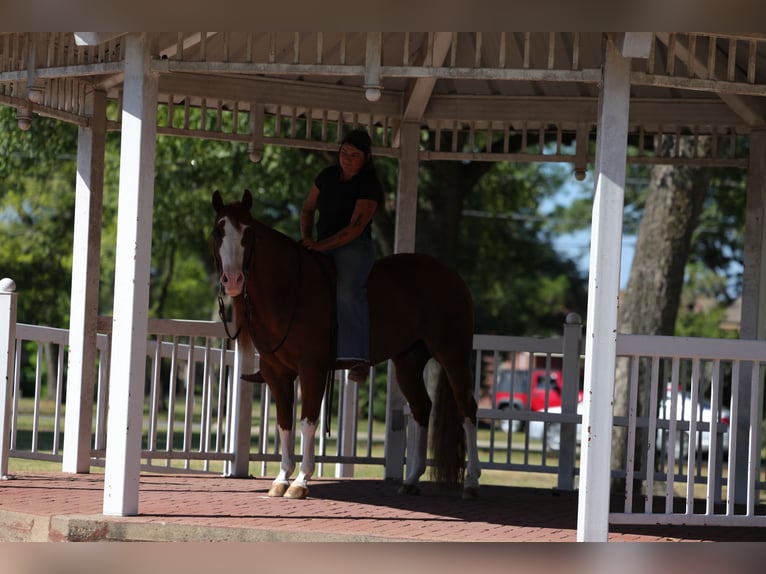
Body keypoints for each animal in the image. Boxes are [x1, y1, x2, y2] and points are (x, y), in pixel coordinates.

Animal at [211, 189, 481, 500]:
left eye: (248, 233)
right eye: (218, 231)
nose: (233, 279)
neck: (288, 290)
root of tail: (451, 276)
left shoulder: (312, 368)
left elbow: (307, 421)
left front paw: (301, 481)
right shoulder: (277, 374)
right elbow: (284, 424)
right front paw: (281, 479)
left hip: (453, 354)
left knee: (466, 409)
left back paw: (472, 482)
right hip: (408, 361)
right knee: (421, 408)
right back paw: (412, 479)